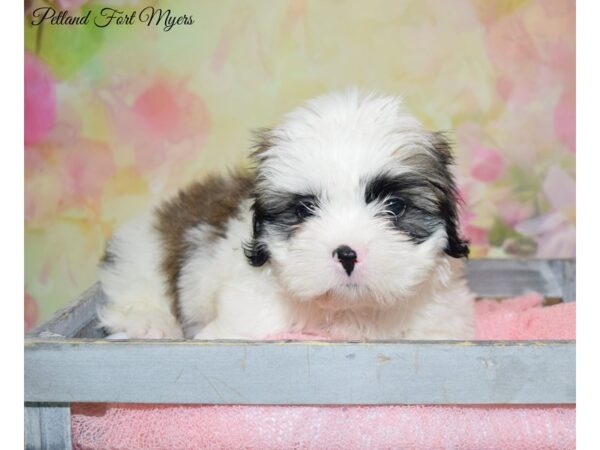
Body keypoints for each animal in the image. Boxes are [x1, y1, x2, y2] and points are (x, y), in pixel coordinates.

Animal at [97, 89, 474, 340]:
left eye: (394, 206)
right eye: (304, 209)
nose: (347, 254)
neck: (349, 310)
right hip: (140, 258)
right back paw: (150, 322)